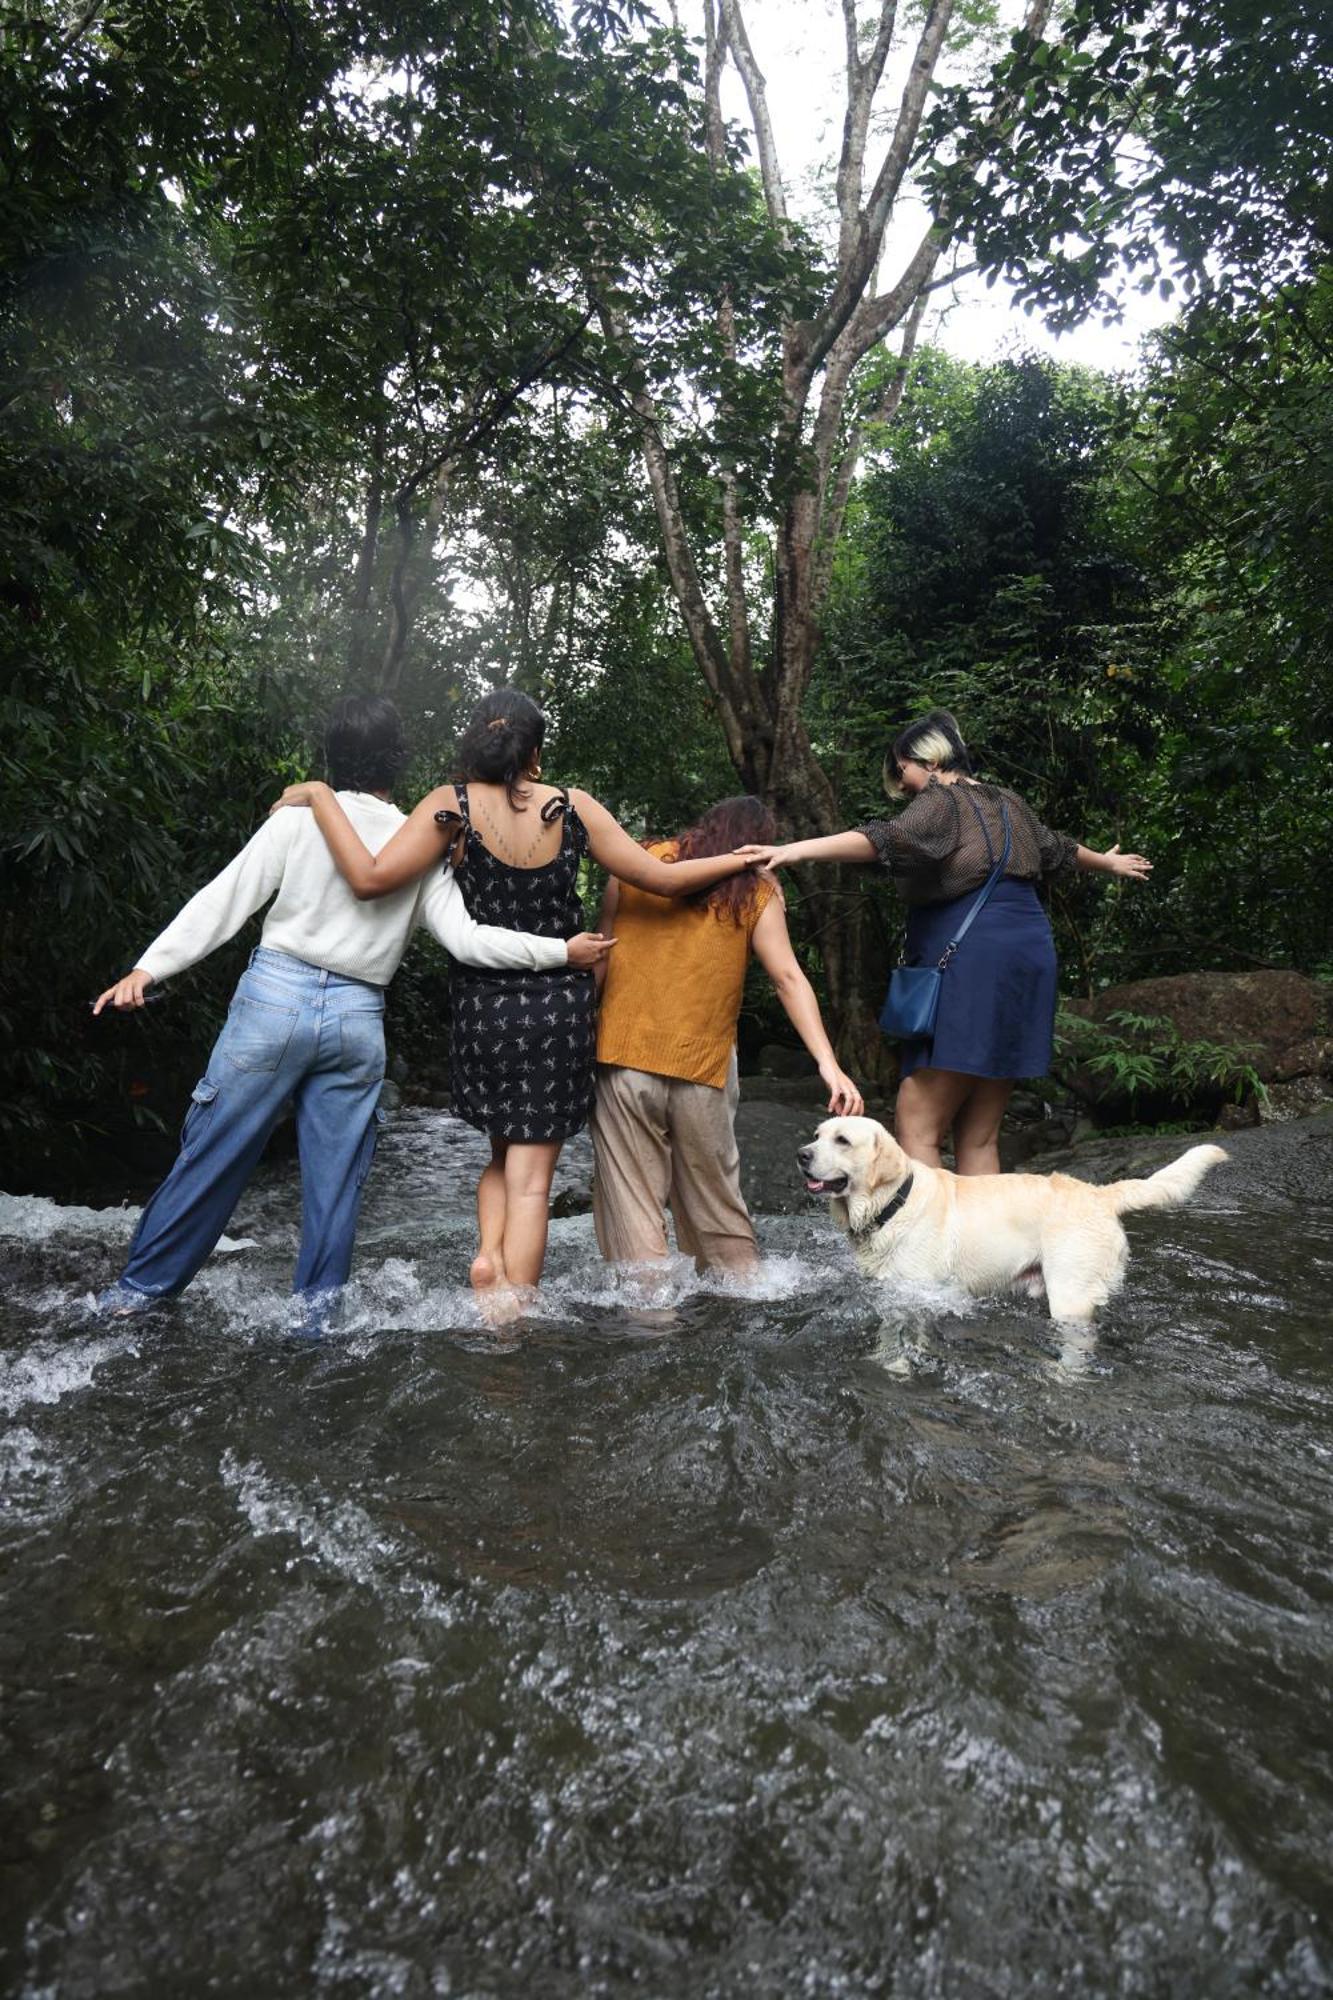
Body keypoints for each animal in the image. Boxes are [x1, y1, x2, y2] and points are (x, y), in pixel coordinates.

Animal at [788, 1120, 1224, 1320]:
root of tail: (1100, 1193)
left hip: (1070, 1291)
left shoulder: (917, 1291)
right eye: (818, 1133)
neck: (892, 1202)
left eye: (842, 1140)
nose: (801, 1154)